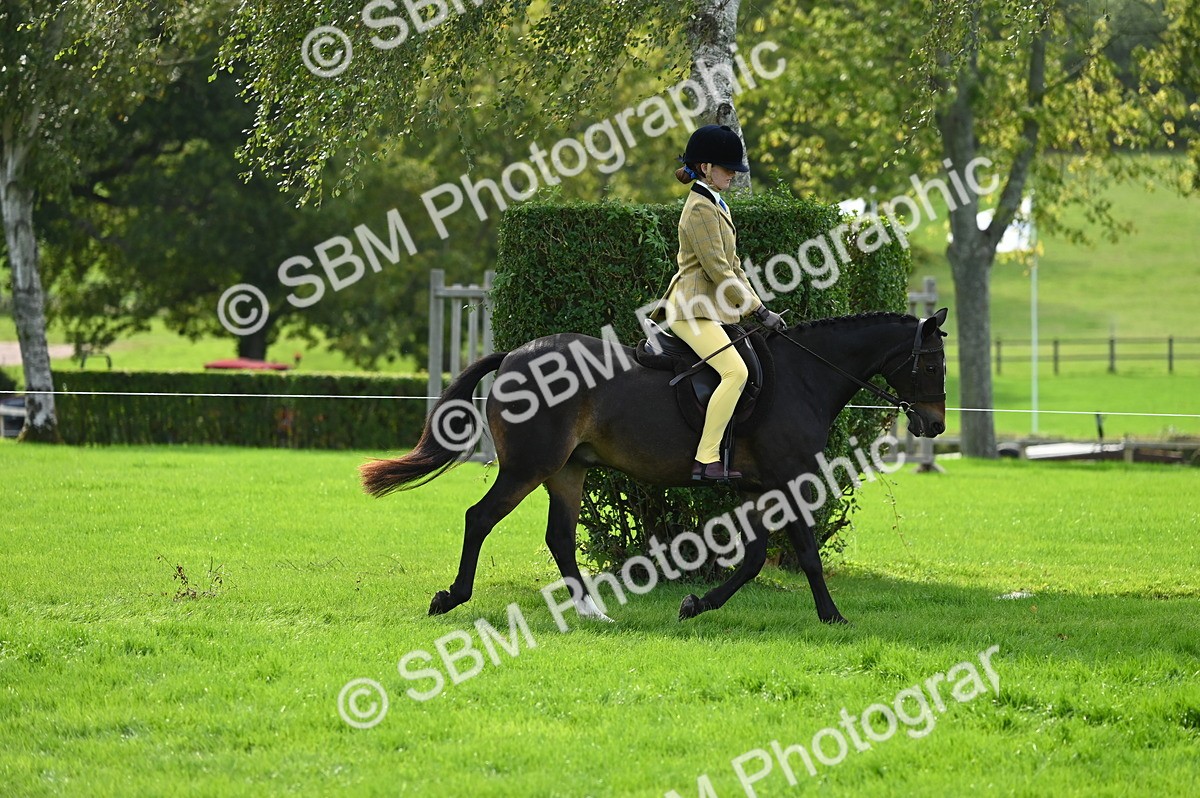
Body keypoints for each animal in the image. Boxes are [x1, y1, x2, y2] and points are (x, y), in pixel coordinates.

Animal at [360, 309, 949, 625]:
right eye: (930, 365)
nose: (935, 425)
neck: (803, 375)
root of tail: (511, 356)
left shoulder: (757, 487)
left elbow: (755, 558)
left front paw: (696, 603)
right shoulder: (787, 479)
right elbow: (803, 551)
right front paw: (832, 615)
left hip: (567, 470)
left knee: (559, 537)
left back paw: (592, 612)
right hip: (529, 467)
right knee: (480, 518)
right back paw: (451, 597)